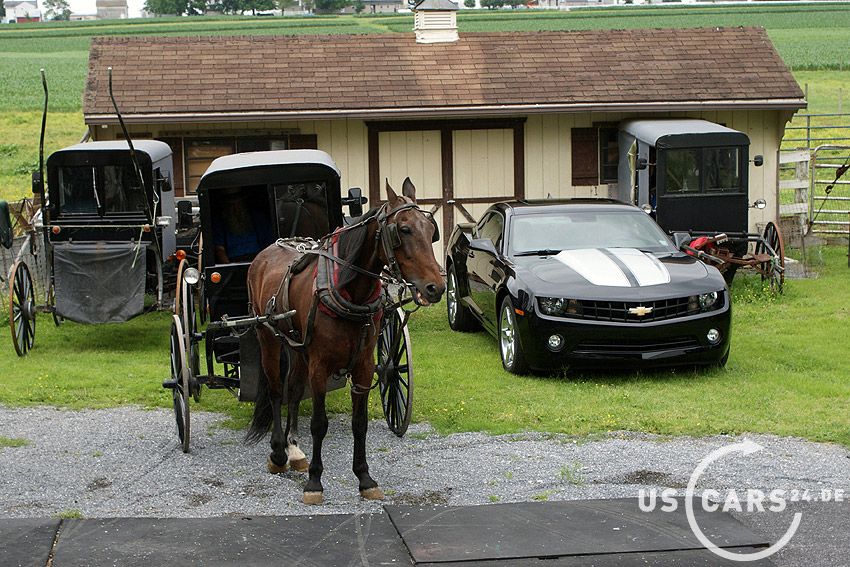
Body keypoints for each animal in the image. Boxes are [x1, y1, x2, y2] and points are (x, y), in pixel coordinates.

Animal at [245, 178, 445, 505]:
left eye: (431, 230)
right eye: (403, 230)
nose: (435, 287)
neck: (349, 292)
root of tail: (267, 251)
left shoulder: (363, 366)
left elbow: (359, 423)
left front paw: (364, 478)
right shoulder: (320, 367)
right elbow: (319, 424)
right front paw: (314, 482)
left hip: (298, 347)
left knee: (293, 390)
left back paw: (293, 449)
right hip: (268, 338)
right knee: (275, 391)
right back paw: (278, 453)